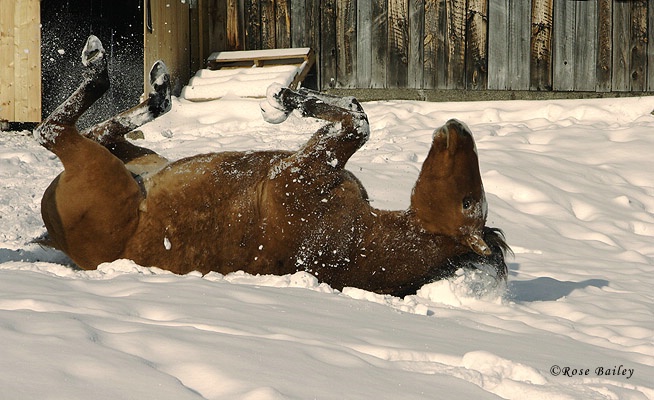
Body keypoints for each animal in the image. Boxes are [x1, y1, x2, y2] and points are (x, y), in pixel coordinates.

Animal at [34, 35, 512, 296]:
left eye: (469, 202)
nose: (457, 126)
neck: (356, 238)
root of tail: (55, 235)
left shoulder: (301, 170)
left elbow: (359, 124)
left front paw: (280, 97)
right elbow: (357, 113)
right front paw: (284, 99)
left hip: (98, 166)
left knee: (54, 130)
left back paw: (105, 65)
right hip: (139, 161)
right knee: (106, 129)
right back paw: (157, 90)